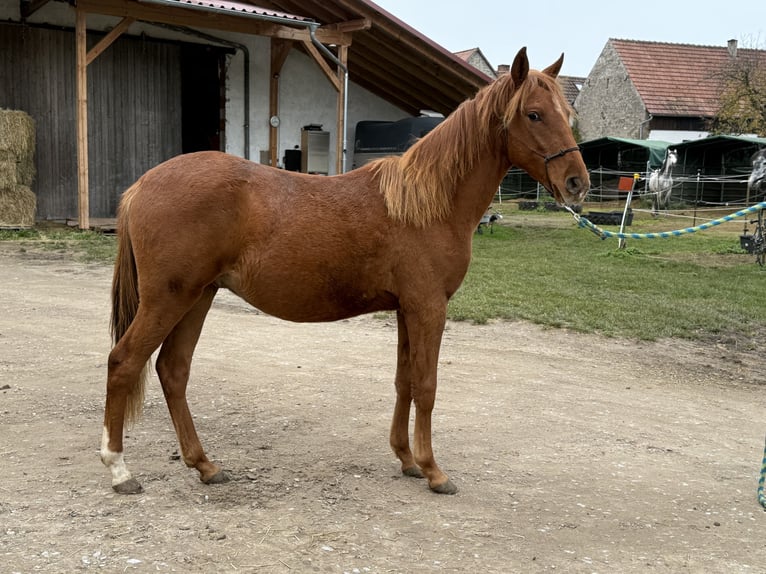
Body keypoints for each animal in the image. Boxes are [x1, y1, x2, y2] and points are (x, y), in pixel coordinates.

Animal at [100, 47, 589, 496]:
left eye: (567, 113)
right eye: (534, 114)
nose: (577, 183)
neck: (425, 203)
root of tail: (141, 186)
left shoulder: (406, 309)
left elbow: (404, 381)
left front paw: (406, 459)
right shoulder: (428, 307)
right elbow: (426, 385)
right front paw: (434, 471)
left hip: (198, 296)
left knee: (173, 371)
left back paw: (205, 465)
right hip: (169, 299)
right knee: (124, 363)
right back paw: (119, 469)